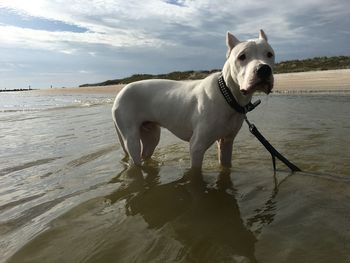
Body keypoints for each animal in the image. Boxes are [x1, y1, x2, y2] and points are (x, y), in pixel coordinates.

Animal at [112, 28, 276, 169]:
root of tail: (121, 91)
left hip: (151, 135)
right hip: (131, 139)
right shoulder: (197, 147)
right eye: (242, 57)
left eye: (269, 54)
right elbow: (195, 173)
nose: (263, 69)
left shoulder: (227, 143)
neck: (228, 95)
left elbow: (225, 167)